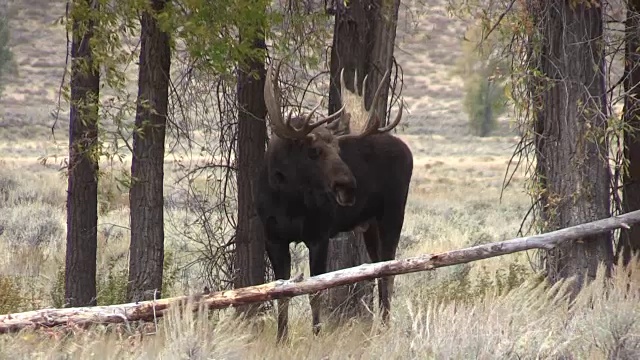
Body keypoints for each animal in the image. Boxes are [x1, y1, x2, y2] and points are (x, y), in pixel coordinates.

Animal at [255, 60, 416, 342]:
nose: (349, 186)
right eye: (314, 151)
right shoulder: (272, 237)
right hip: (370, 226)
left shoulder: (319, 235)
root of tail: (407, 150)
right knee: (377, 269)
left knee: (391, 269)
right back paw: (380, 325)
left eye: (338, 148)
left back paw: (385, 327)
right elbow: (281, 292)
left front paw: (317, 334)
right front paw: (281, 338)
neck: (288, 202)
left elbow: (316, 290)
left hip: (393, 214)